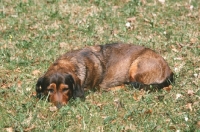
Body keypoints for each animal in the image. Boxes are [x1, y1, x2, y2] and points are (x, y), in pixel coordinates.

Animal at [36, 42, 173, 108]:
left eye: (66, 89)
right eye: (50, 90)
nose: (59, 107)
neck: (69, 63)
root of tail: (170, 71)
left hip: (135, 68)